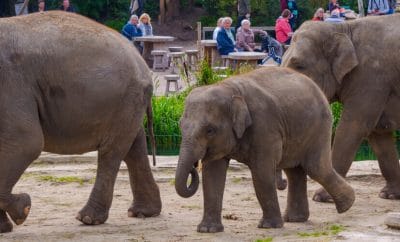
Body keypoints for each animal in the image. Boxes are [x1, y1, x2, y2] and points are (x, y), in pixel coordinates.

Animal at [0, 10, 162, 233]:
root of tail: (143, 64)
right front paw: (5, 226)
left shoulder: (12, 84)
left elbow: (26, 142)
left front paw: (23, 209)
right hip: (128, 104)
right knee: (134, 147)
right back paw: (143, 213)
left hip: (125, 100)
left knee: (111, 152)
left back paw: (87, 218)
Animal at [175, 66, 354, 233]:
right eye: (180, 125)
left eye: (210, 130)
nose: (194, 166)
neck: (228, 88)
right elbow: (212, 175)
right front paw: (207, 230)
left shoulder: (264, 127)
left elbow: (262, 173)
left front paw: (269, 227)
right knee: (295, 171)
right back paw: (296, 219)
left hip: (319, 126)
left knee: (316, 168)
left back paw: (347, 205)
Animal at [282, 13, 400, 202]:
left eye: (299, 65)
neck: (343, 29)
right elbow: (378, 134)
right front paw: (388, 195)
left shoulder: (371, 78)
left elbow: (352, 127)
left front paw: (321, 198)